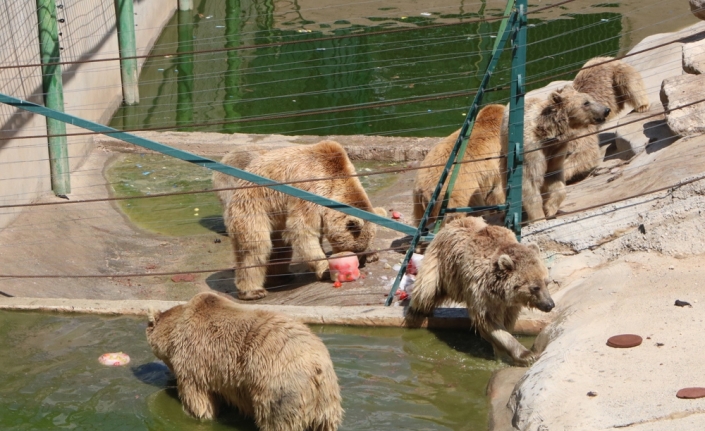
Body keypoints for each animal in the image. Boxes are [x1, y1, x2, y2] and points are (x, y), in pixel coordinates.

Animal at [144, 292, 342, 430]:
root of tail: (317, 367)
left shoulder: (195, 361)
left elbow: (198, 399)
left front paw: (194, 412)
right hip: (327, 401)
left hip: (280, 388)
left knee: (276, 421)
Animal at [408, 218, 556, 366]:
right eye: (535, 287)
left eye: (546, 282)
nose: (550, 304)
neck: (499, 291)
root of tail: (456, 220)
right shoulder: (481, 294)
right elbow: (490, 322)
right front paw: (526, 355)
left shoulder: (508, 304)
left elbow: (506, 322)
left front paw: (501, 352)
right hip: (440, 263)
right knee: (425, 290)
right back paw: (416, 312)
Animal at [500, 84, 612, 221]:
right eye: (586, 102)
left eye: (591, 99)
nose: (606, 110)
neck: (547, 132)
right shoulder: (531, 149)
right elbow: (530, 181)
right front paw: (539, 217)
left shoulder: (557, 148)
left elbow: (554, 175)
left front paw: (549, 209)